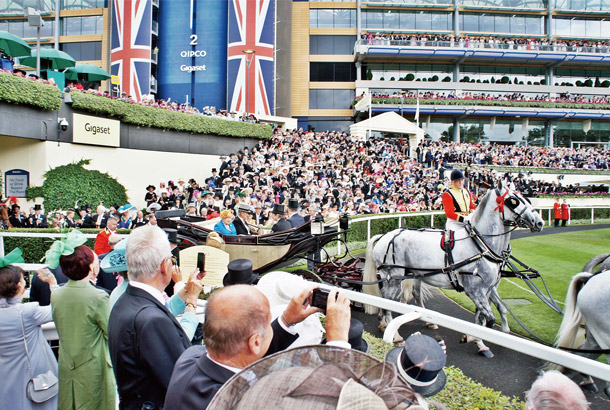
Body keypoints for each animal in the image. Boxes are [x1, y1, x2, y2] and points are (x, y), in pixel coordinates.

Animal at [360, 179, 540, 356]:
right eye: (514, 200)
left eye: (526, 198)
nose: (539, 222)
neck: (480, 245)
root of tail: (385, 236)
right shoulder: (474, 290)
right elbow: (487, 319)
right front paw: (479, 342)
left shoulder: (488, 288)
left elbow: (495, 311)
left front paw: (489, 335)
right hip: (394, 277)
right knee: (387, 302)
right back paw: (395, 334)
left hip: (411, 275)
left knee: (406, 295)